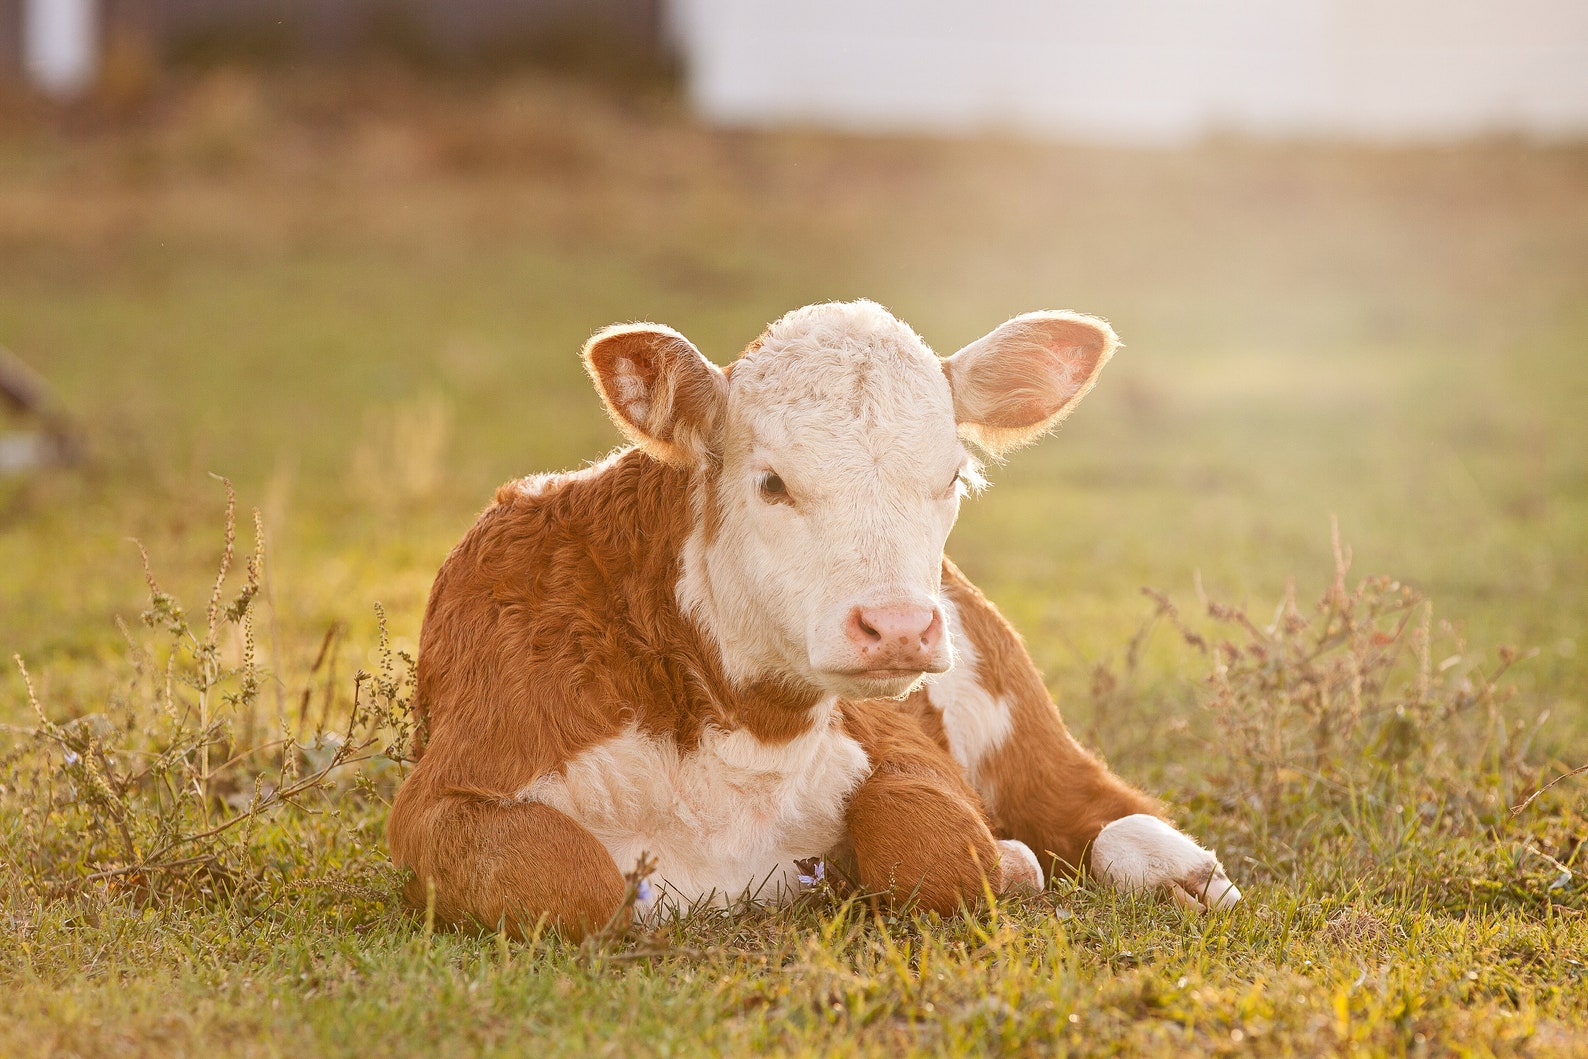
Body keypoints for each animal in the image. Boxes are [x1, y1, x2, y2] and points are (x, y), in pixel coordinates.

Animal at [387, 299, 1240, 939]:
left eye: (952, 475)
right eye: (771, 482)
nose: (898, 627)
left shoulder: (894, 735)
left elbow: (932, 842)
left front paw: (1010, 863)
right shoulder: (447, 793)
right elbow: (569, 882)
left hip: (1013, 709)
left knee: (1101, 806)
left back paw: (1182, 869)